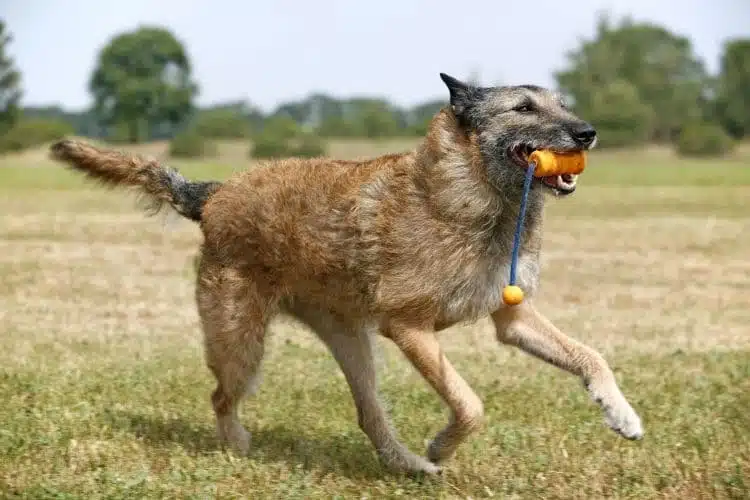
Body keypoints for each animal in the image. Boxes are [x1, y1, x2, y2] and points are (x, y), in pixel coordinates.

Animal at [50, 72, 644, 474]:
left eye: (563, 104)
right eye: (523, 107)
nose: (588, 132)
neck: (471, 194)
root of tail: (215, 194)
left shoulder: (511, 320)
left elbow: (591, 356)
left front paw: (621, 415)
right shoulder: (409, 329)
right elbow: (470, 404)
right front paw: (443, 443)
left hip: (352, 343)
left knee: (368, 414)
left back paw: (406, 464)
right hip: (241, 344)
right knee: (221, 398)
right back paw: (239, 448)